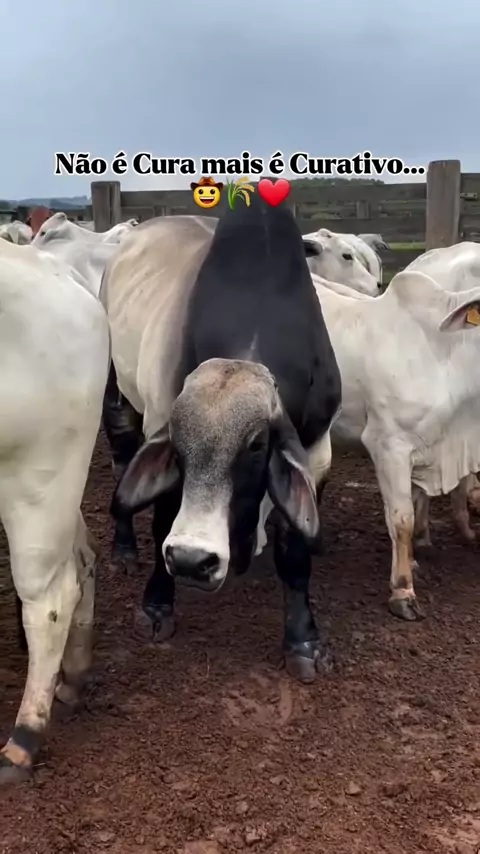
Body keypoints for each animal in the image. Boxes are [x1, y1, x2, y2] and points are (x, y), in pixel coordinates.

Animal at [101, 198, 342, 684]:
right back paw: (124, 548)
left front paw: (303, 640)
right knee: (121, 460)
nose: (193, 560)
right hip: (117, 392)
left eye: (256, 445)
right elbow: (163, 520)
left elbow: (295, 548)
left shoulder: (316, 448)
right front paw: (157, 605)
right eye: (177, 441)